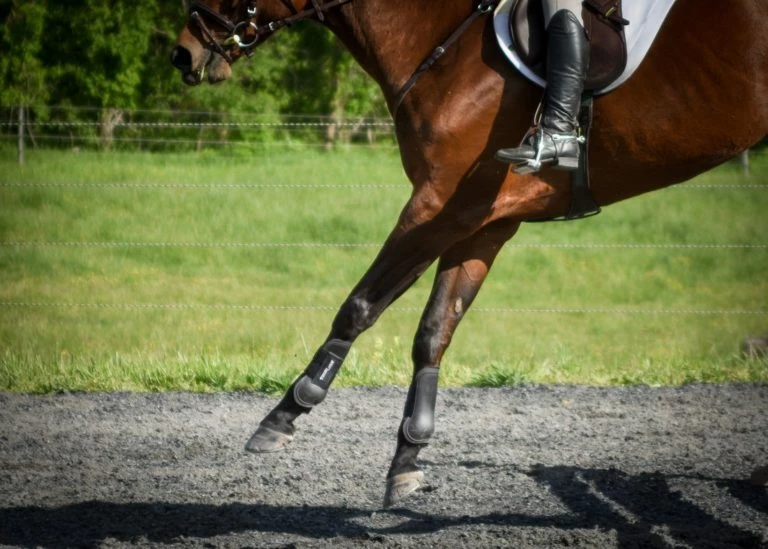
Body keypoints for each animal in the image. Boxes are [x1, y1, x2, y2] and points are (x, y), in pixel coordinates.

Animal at [171, 0, 768, 505]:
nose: (183, 53)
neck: (441, 42)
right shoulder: (484, 221)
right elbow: (435, 329)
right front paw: (407, 458)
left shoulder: (440, 205)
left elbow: (361, 305)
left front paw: (285, 413)